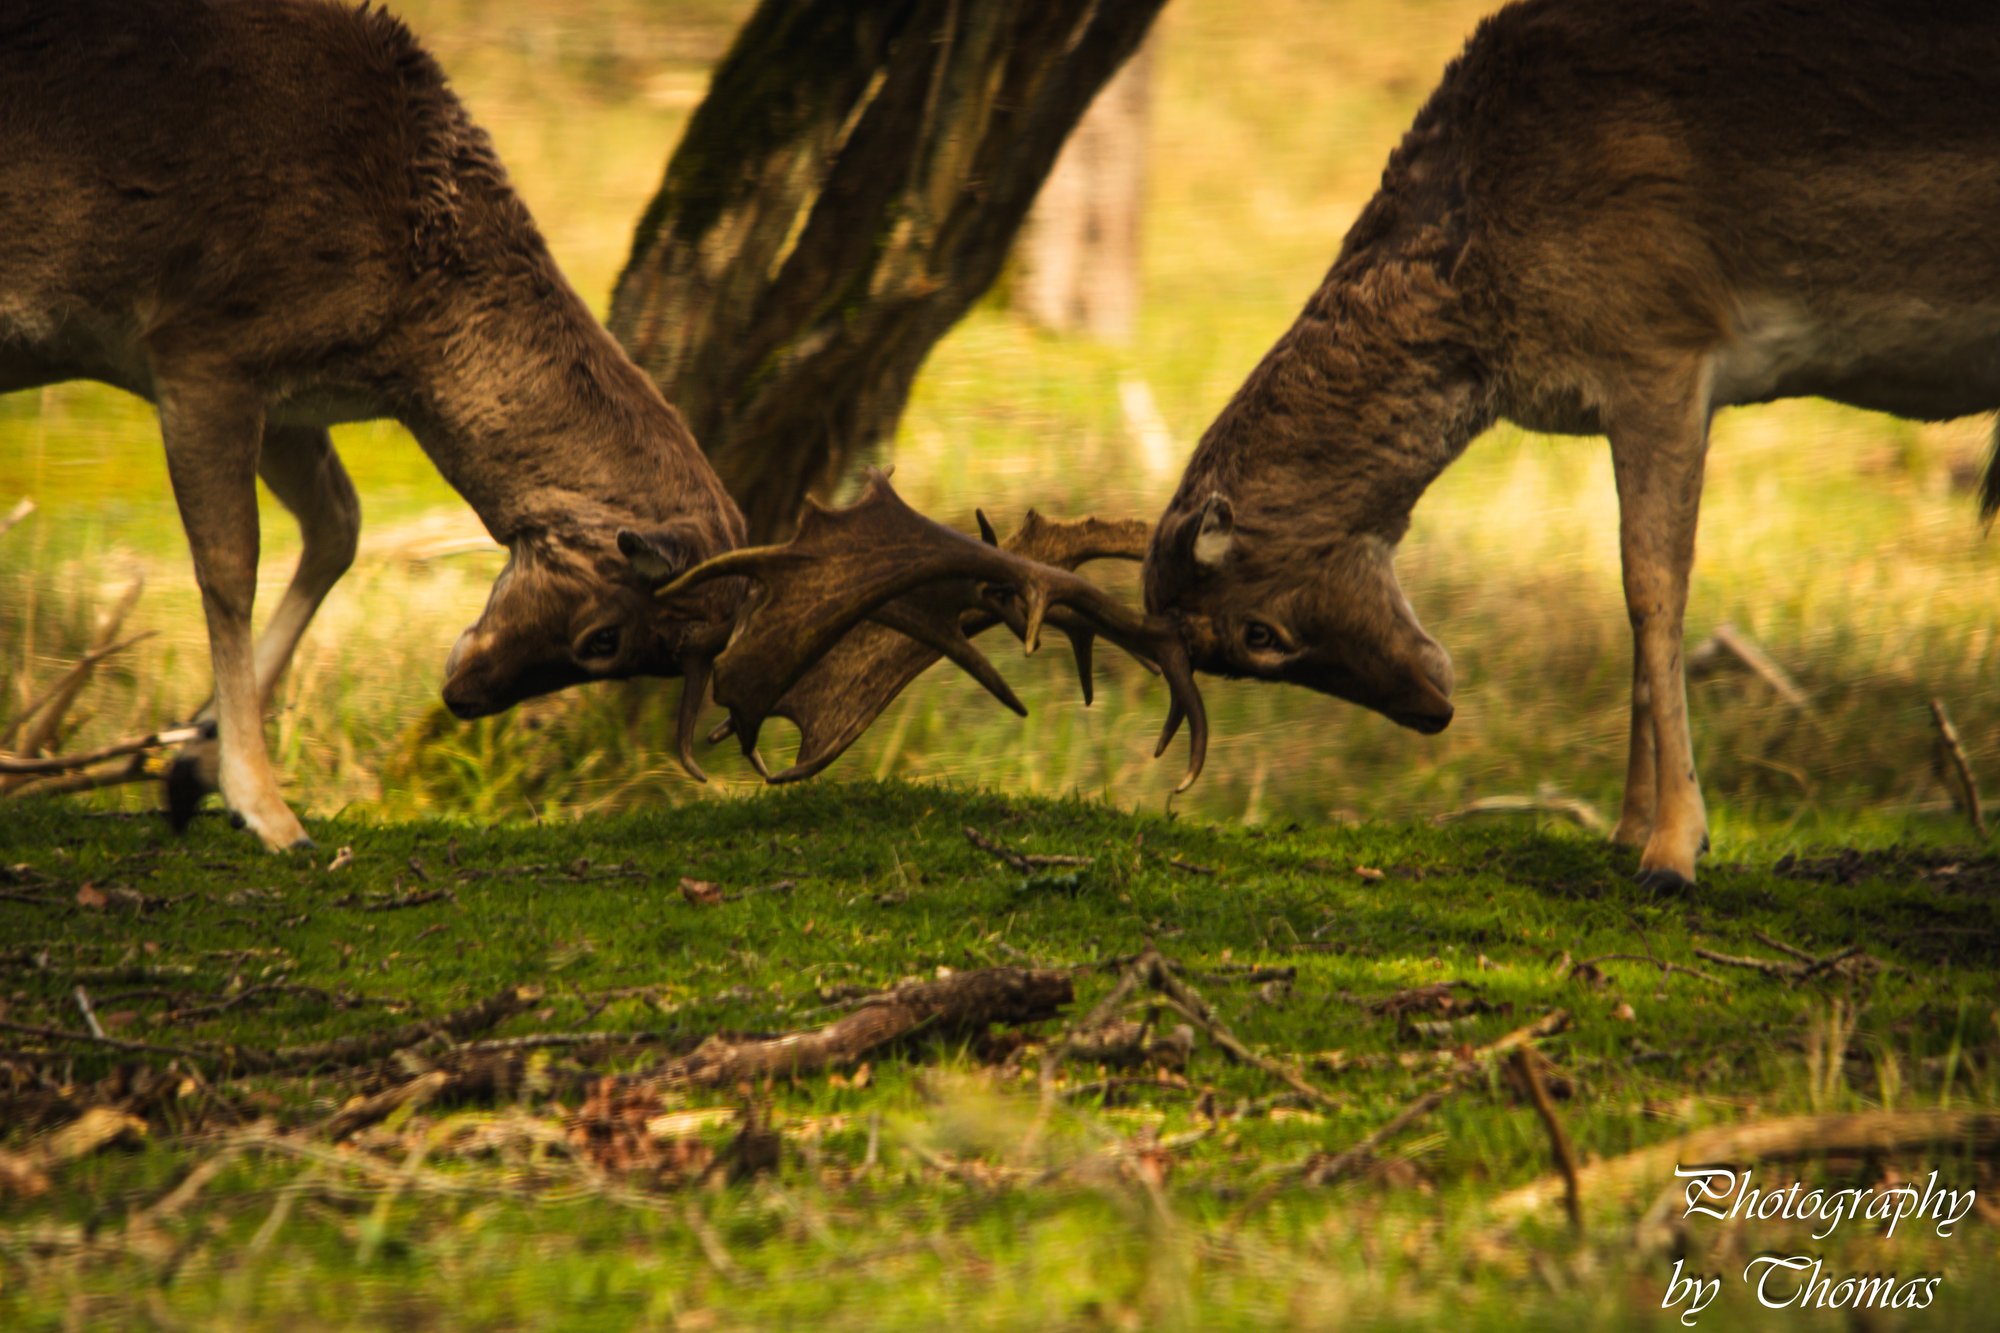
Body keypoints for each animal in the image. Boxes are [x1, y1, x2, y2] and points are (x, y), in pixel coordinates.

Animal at [1, 0, 1202, 848]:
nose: (463, 694)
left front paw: (188, 762)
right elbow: (227, 563)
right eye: (608, 640)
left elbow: (336, 531)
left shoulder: (292, 397)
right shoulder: (197, 344)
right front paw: (267, 808)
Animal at [1138, 0, 2000, 888]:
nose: (1432, 708)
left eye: (1258, 635)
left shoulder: (1661, 341)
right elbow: (1641, 590)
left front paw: (1673, 848)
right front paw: (1626, 829)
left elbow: (1652, 585)